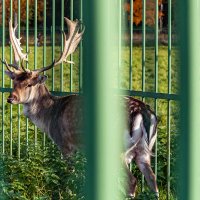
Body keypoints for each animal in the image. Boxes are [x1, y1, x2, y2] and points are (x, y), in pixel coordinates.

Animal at [0, 17, 159, 198]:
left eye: (29, 84)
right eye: (14, 81)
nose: (11, 98)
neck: (49, 118)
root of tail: (144, 112)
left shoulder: (65, 144)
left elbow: (69, 174)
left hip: (120, 149)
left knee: (132, 181)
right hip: (144, 151)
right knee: (152, 180)